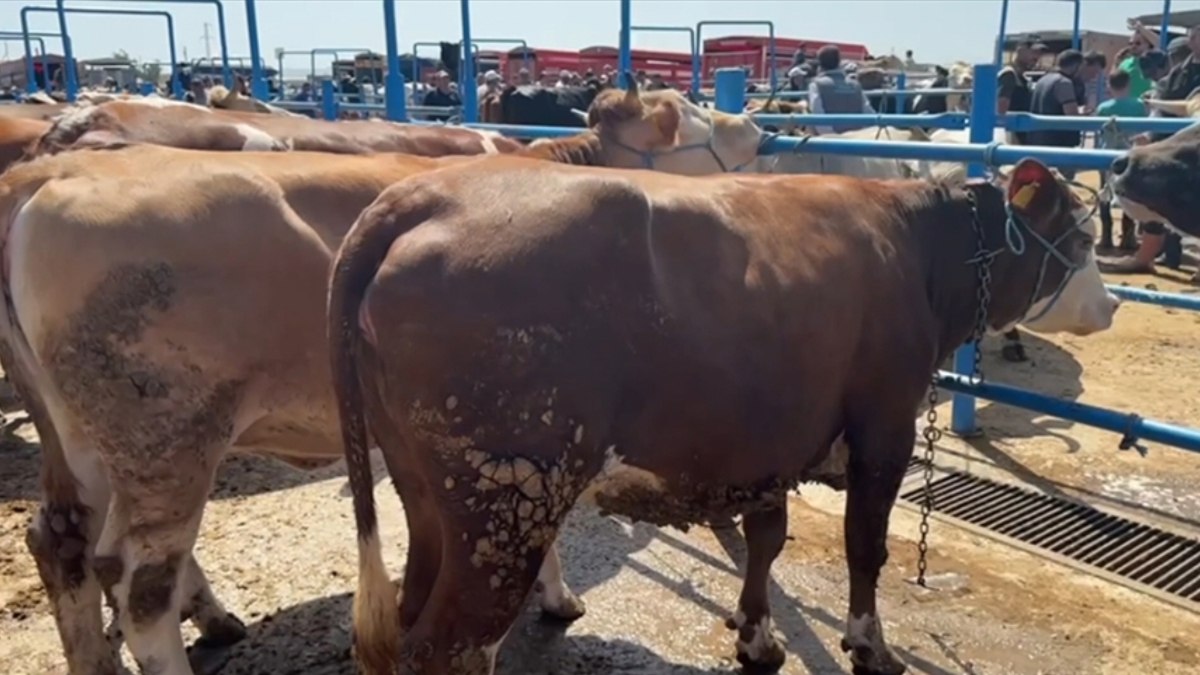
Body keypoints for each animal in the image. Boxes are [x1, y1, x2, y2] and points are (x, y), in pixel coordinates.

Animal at [0, 84, 763, 672]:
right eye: (691, 114)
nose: (755, 125)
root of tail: (52, 176)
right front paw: (557, 596)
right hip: (168, 434)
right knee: (139, 586)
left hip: (86, 442)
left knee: (64, 544)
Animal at [328, 154, 1099, 667]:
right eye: (1085, 240)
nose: (1111, 305)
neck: (910, 244)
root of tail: (422, 194)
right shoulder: (885, 422)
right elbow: (865, 545)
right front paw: (869, 644)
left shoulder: (768, 438)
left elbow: (767, 537)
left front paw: (756, 633)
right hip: (507, 499)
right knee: (447, 644)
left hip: (427, 490)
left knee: (405, 616)